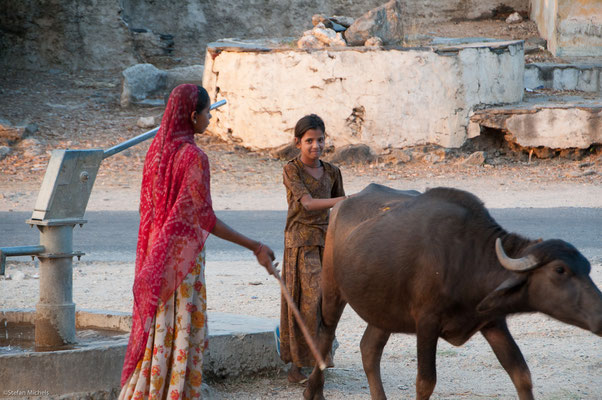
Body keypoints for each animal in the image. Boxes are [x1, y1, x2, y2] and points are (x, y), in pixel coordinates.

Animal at [302, 184, 600, 400]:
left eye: (587, 268)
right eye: (560, 270)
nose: (600, 317)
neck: (466, 258)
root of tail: (341, 204)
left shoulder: (492, 322)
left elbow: (521, 375)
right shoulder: (427, 323)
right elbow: (425, 382)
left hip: (382, 307)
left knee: (369, 349)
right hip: (332, 289)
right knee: (325, 335)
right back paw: (313, 391)